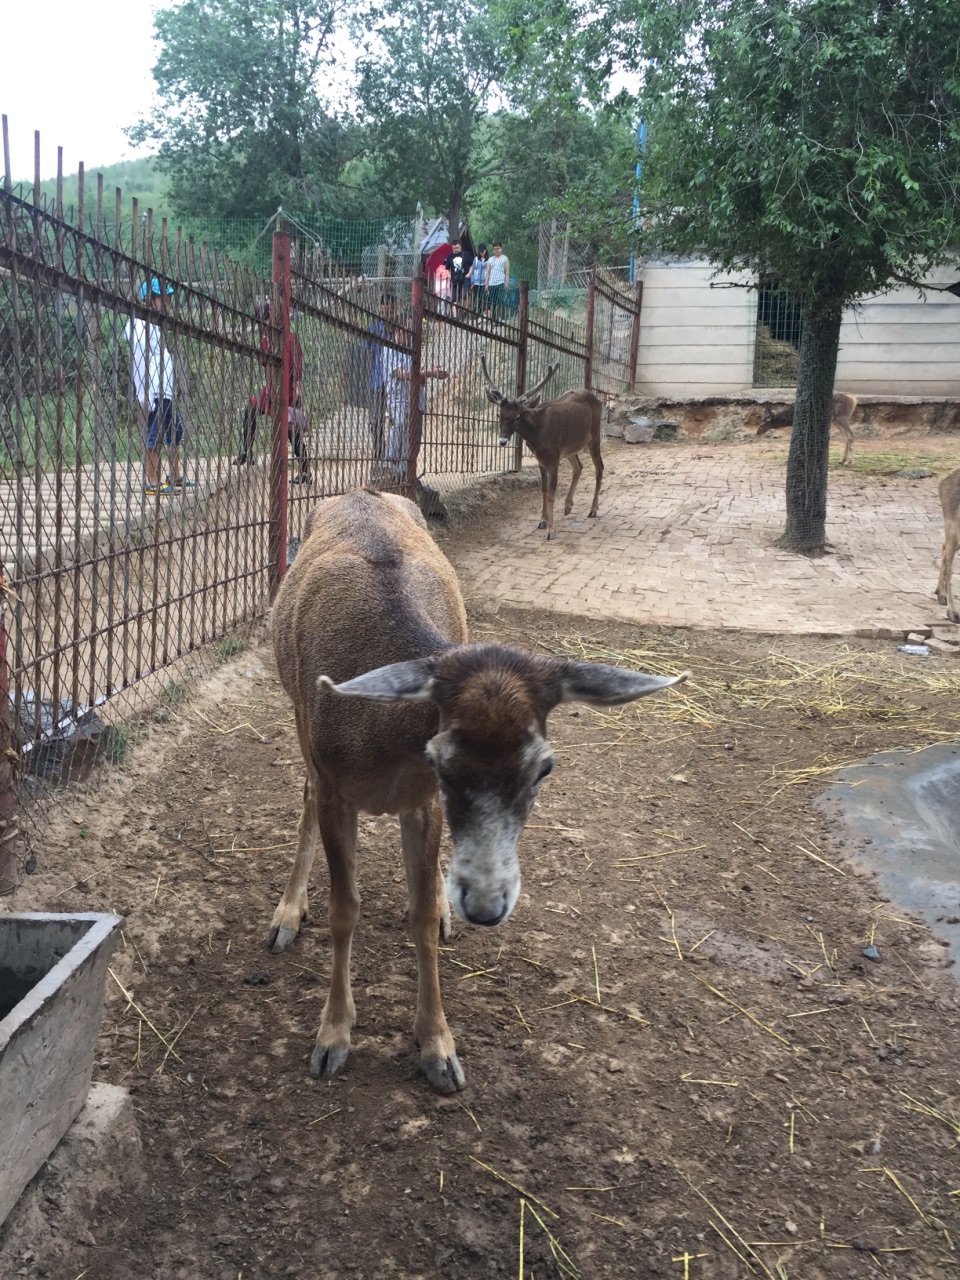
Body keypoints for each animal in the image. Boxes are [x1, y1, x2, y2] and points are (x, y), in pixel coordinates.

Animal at [268, 486, 691, 1090]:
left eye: (544, 768)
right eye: (441, 760)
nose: (489, 906)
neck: (380, 749)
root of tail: (362, 490)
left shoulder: (422, 802)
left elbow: (420, 913)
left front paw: (438, 1048)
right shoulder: (335, 783)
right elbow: (343, 908)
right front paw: (332, 1039)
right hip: (299, 722)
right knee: (301, 793)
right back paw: (285, 915)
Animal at [478, 355, 601, 540]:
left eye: (517, 416)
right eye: (499, 414)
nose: (502, 441)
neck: (537, 436)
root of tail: (595, 397)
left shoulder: (554, 458)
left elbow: (551, 494)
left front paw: (551, 530)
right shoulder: (540, 459)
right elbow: (543, 490)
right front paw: (542, 521)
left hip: (595, 434)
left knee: (599, 468)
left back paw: (593, 510)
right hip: (570, 448)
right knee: (579, 467)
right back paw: (568, 506)